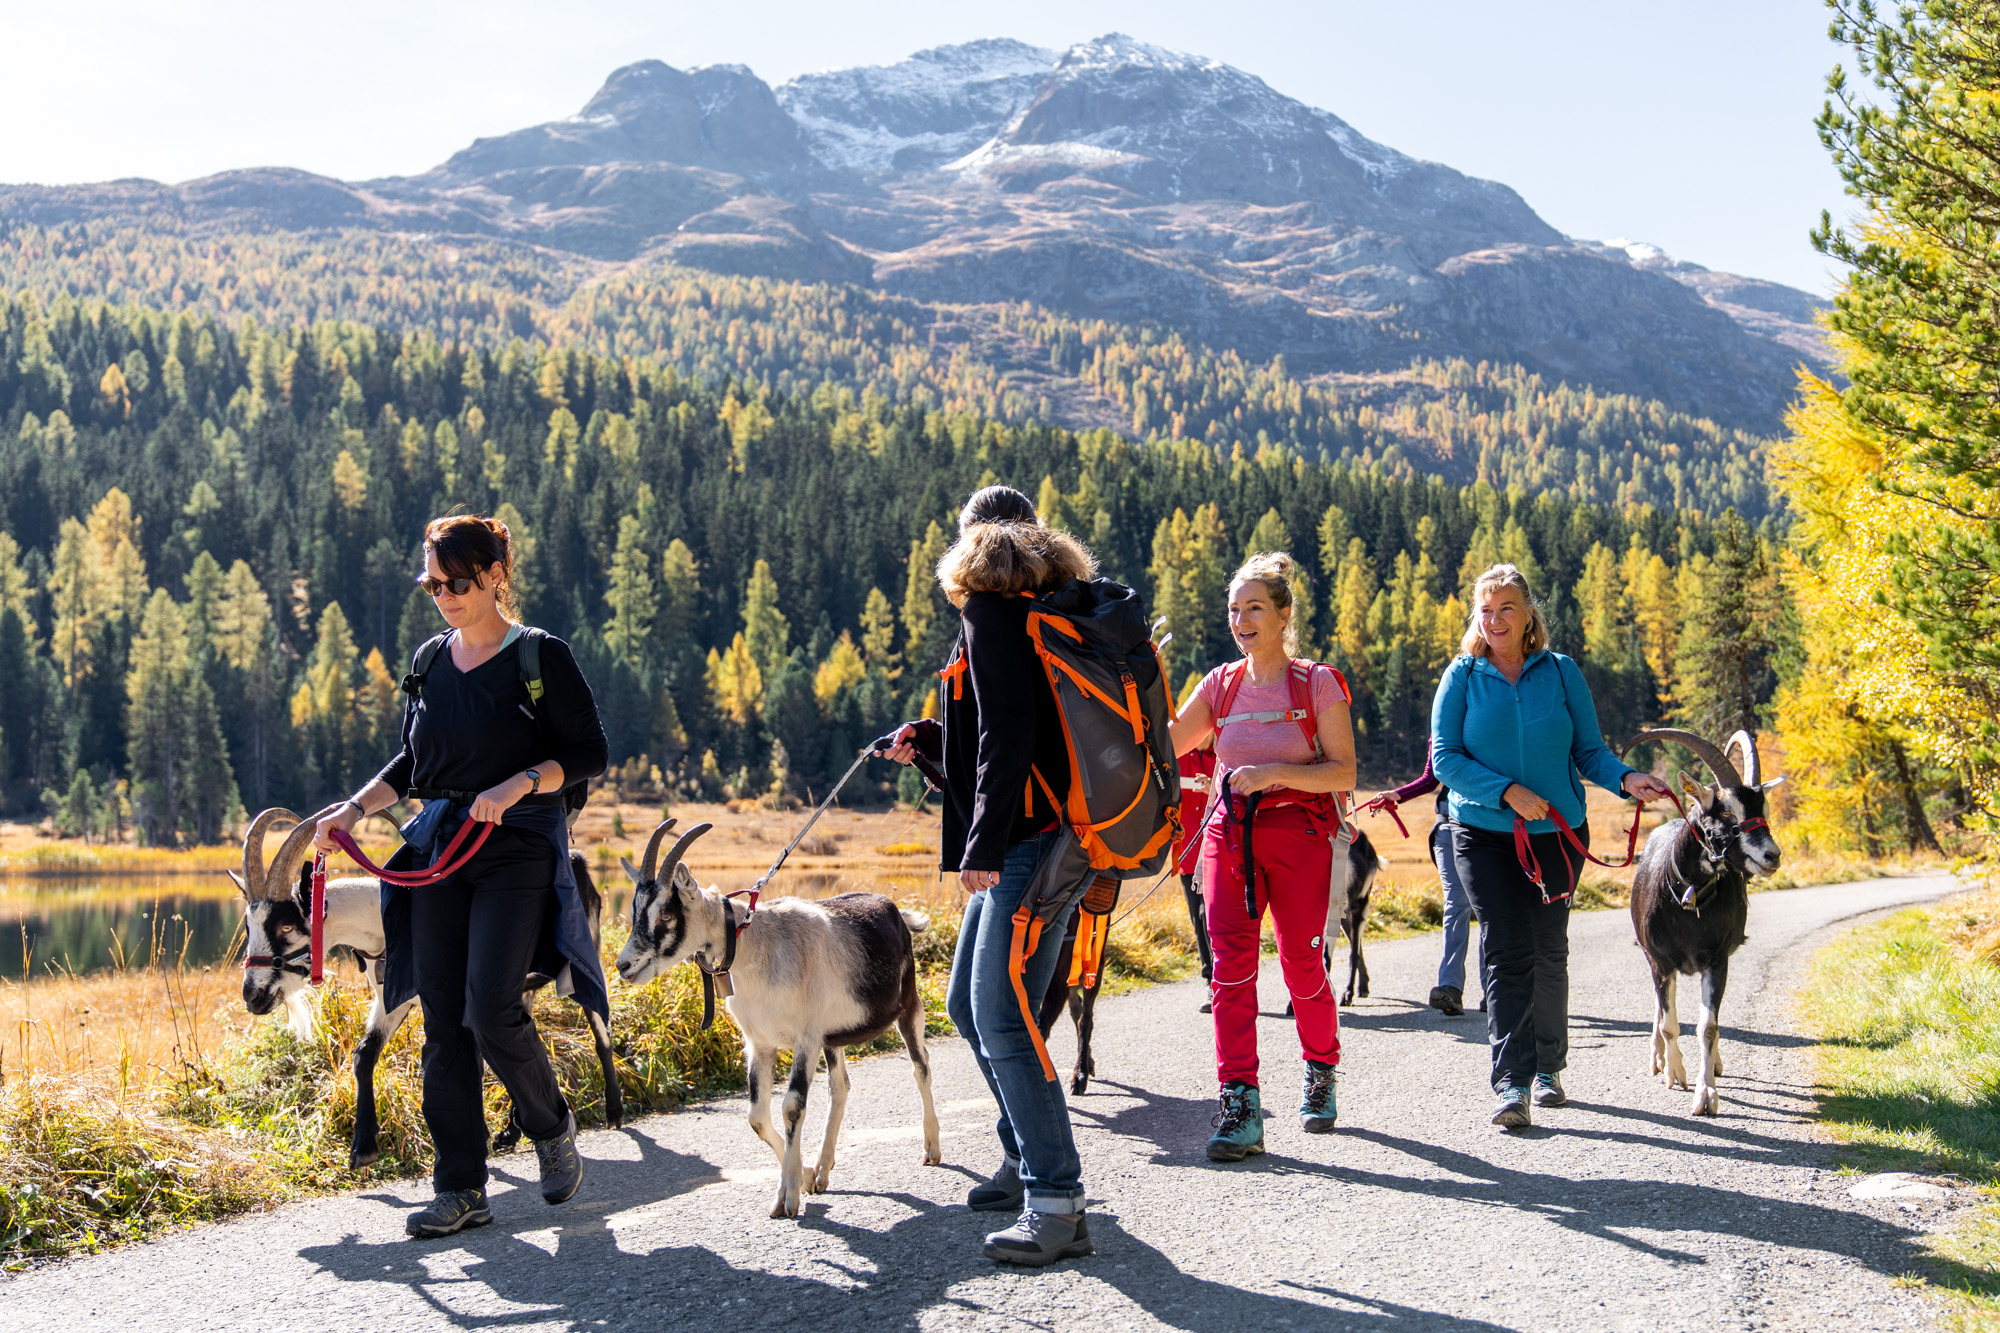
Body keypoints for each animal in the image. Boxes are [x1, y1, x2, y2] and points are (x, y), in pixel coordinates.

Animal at [229, 800, 616, 1160]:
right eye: (248, 926)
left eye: (286, 927)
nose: (252, 995)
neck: (386, 923)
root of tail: (578, 861)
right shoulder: (391, 999)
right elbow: (365, 1054)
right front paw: (363, 1147)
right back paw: (513, 1131)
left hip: (585, 953)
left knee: (599, 1029)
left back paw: (615, 1110)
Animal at [608, 816, 936, 1208]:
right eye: (634, 912)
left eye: (667, 915)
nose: (623, 966)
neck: (757, 946)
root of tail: (896, 911)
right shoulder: (760, 1043)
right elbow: (757, 1116)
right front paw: (804, 1176)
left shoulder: (805, 1038)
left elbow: (791, 1107)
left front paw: (786, 1199)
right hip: (832, 1037)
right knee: (840, 1086)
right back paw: (822, 1171)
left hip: (908, 1004)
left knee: (921, 1066)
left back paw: (931, 1149)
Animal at [1624, 728, 1784, 1112]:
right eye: (1726, 811)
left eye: (1764, 809)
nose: (1772, 855)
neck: (1688, 900)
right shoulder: (1661, 961)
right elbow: (1669, 1024)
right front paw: (1675, 1074)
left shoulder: (1716, 960)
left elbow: (1708, 1026)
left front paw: (1706, 1093)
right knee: (1660, 1009)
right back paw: (1659, 1058)